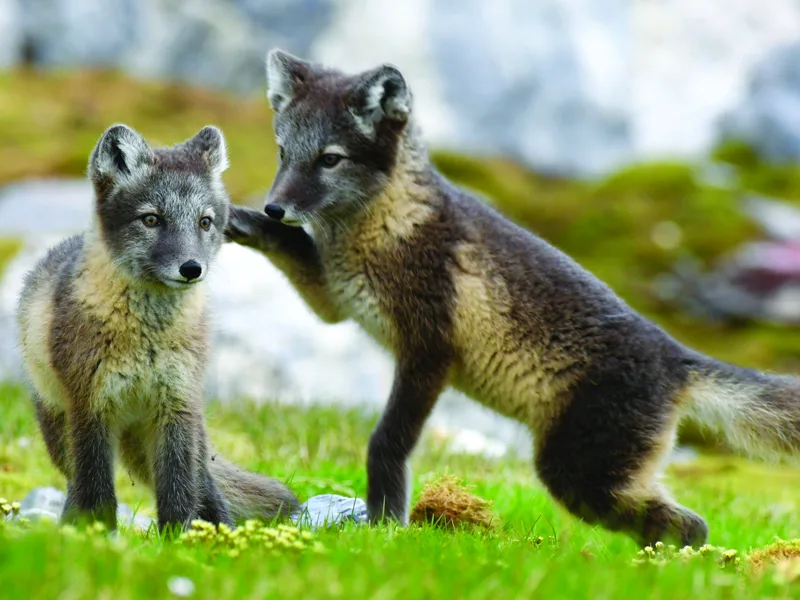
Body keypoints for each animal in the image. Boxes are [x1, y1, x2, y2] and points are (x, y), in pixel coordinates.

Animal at [17, 123, 298, 532]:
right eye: (151, 219)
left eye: (204, 222)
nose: (192, 268)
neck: (147, 337)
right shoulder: (91, 407)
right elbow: (96, 490)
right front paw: (96, 534)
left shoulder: (176, 405)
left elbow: (179, 489)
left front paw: (178, 537)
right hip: (64, 435)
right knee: (75, 482)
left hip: (180, 432)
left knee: (207, 486)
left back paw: (222, 531)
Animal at [225, 49, 800, 548]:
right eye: (283, 153)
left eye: (330, 159)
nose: (275, 206)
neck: (384, 230)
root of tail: (677, 356)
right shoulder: (335, 304)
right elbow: (293, 246)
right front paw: (240, 221)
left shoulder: (429, 351)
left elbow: (386, 443)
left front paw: (385, 526)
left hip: (578, 471)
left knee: (692, 525)